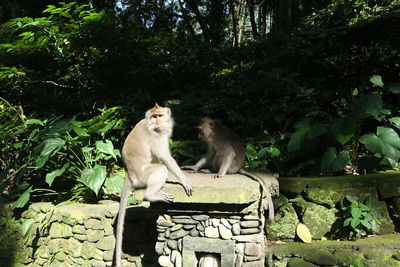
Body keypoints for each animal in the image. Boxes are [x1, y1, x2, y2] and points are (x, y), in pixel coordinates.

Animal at [115, 104, 193, 267]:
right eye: (154, 117)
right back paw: (151, 195)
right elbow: (165, 158)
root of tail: (129, 174)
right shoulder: (155, 136)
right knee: (161, 168)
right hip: (142, 177)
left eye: (160, 115)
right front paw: (184, 180)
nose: (158, 122)